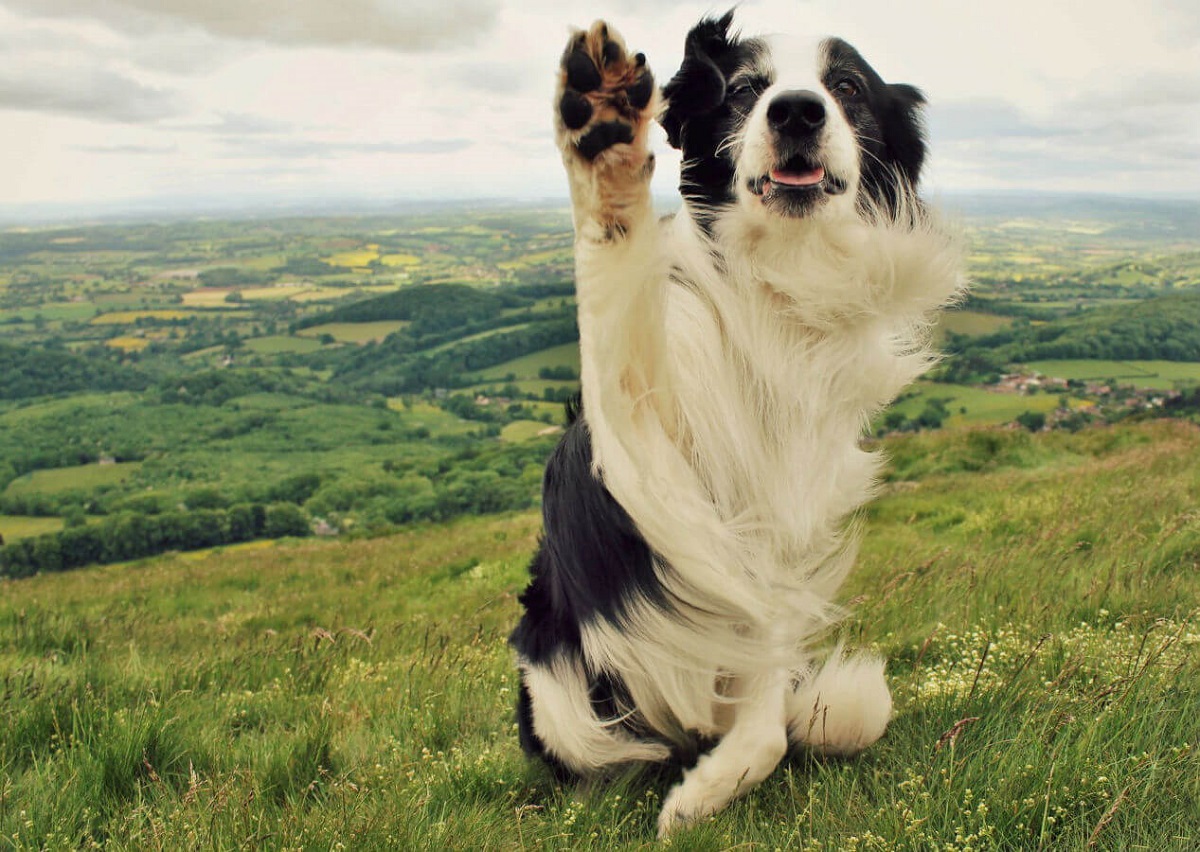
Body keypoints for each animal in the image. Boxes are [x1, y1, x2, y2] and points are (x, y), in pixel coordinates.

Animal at [506, 11, 964, 840]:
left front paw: (709, 790)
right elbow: (615, 313)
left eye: (847, 87)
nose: (797, 112)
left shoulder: (783, 538)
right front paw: (603, 137)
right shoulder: (644, 450)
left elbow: (769, 720)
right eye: (747, 89)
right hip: (560, 693)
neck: (776, 288)